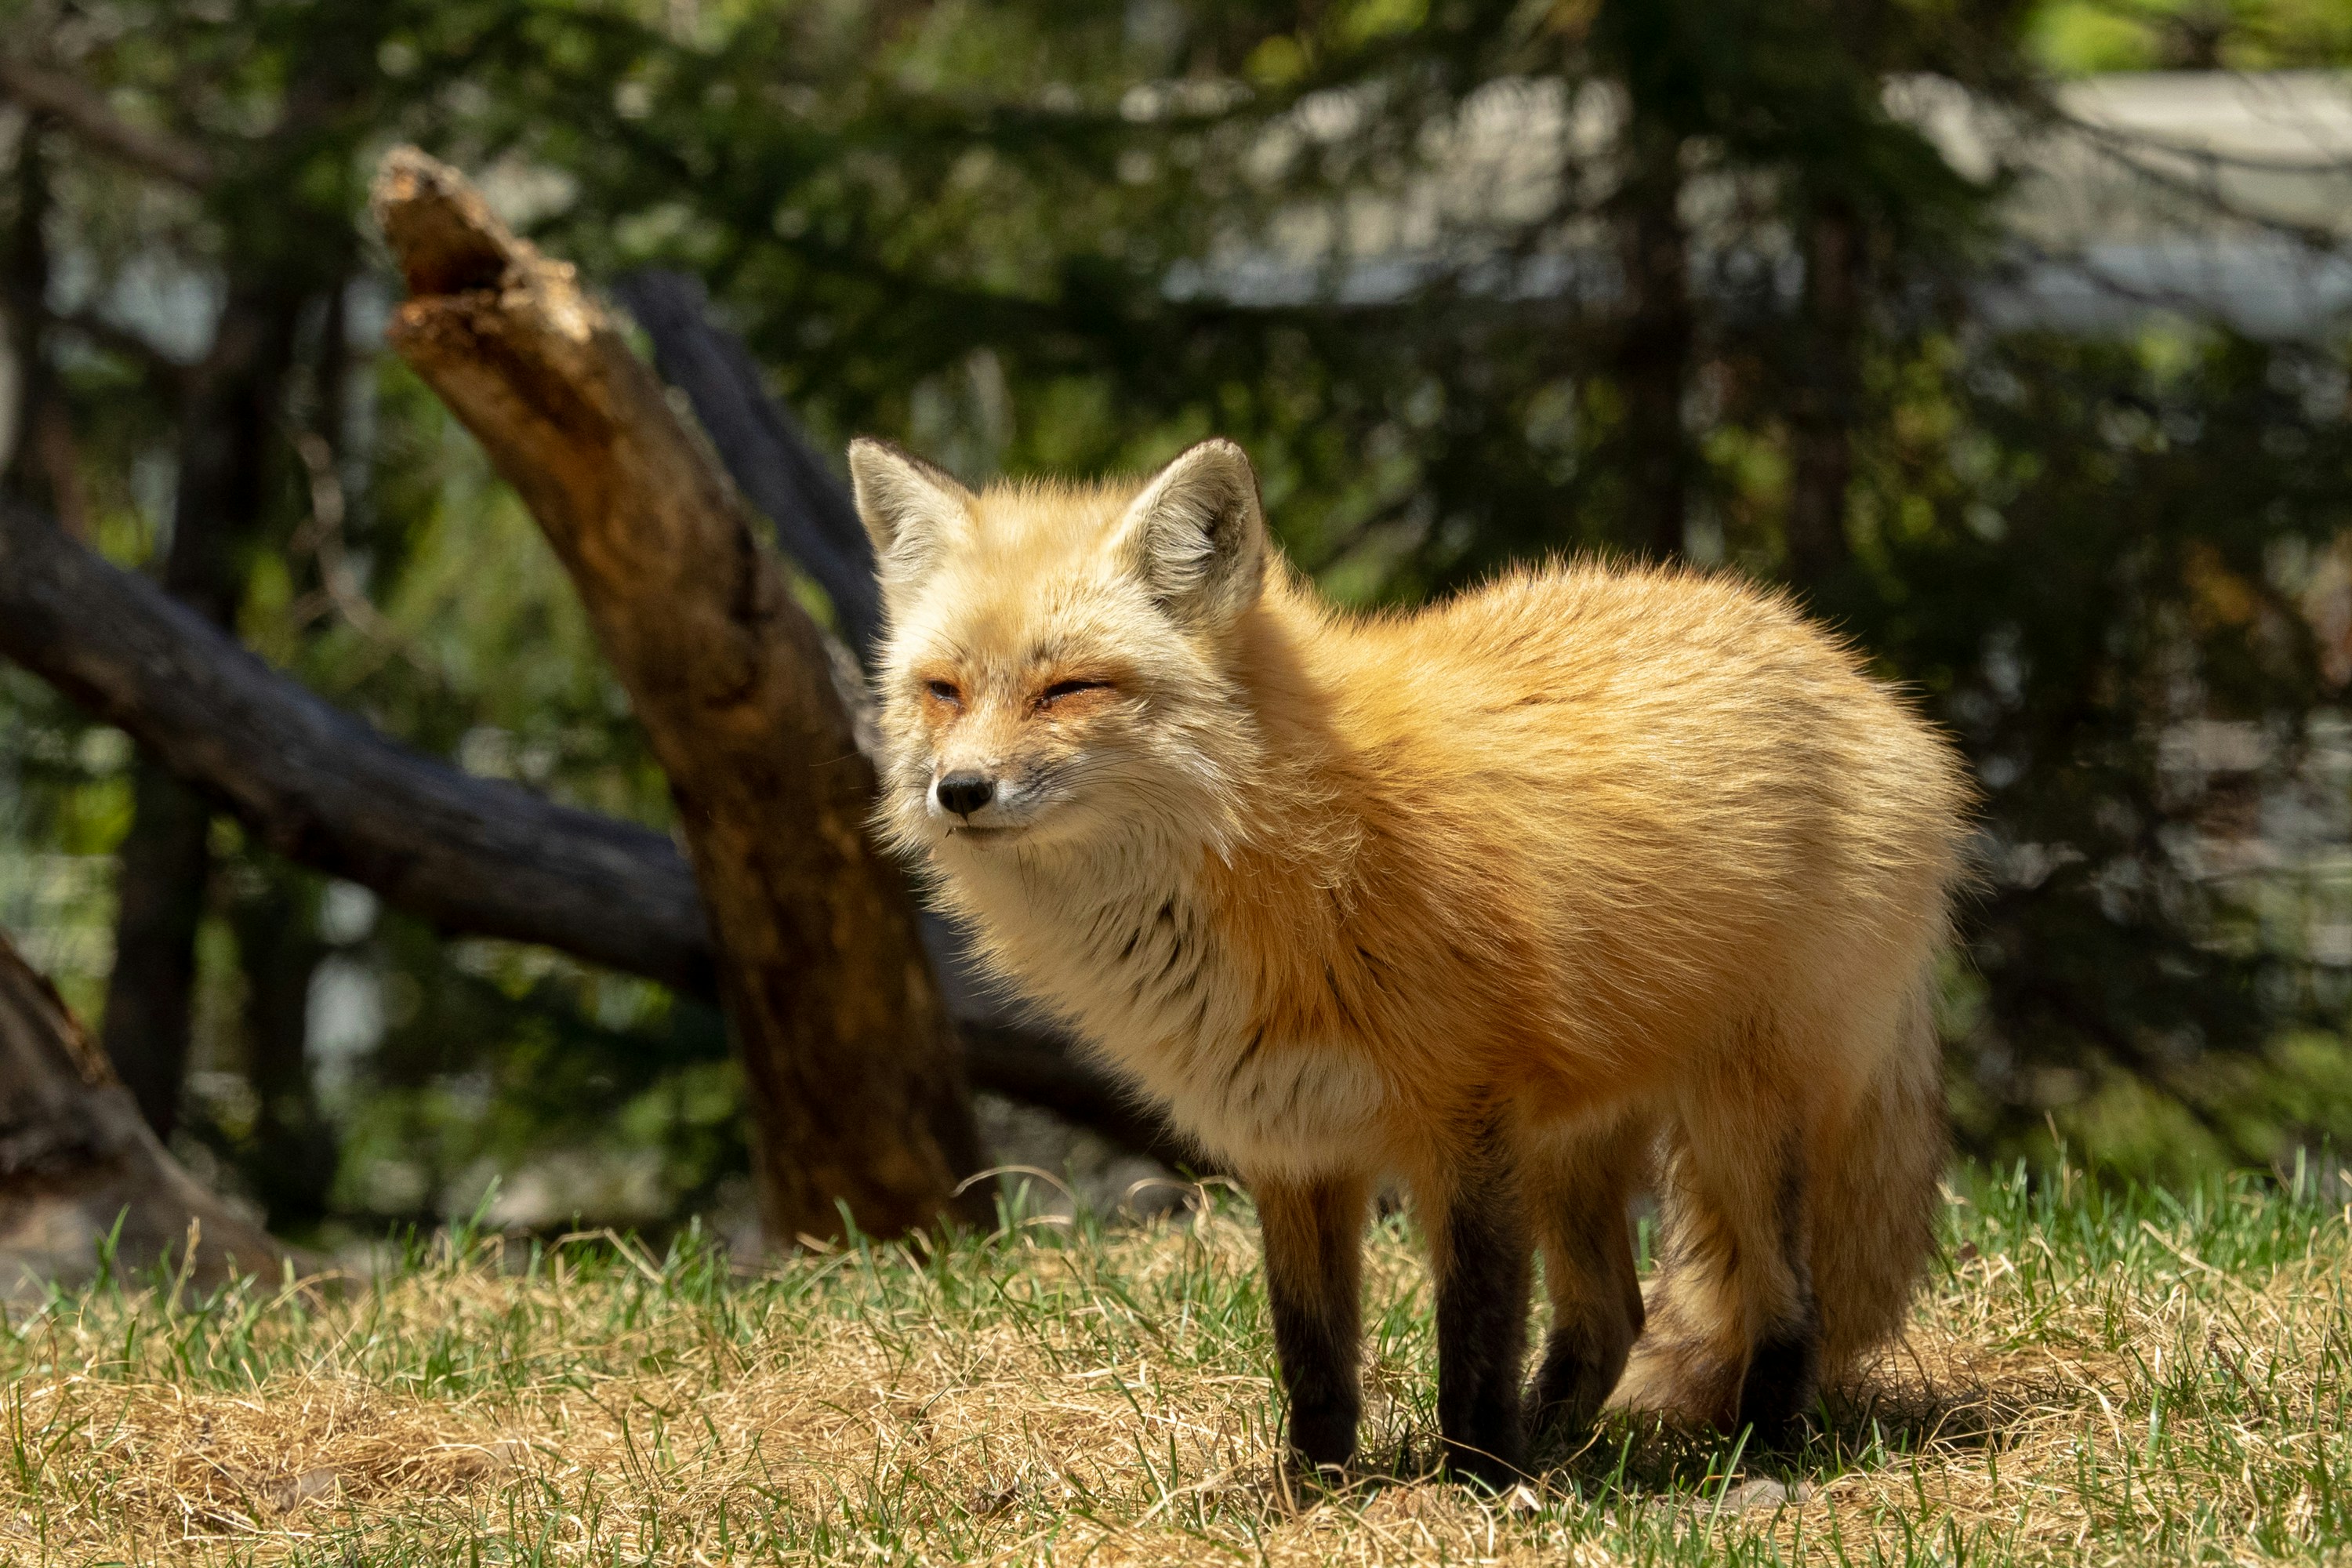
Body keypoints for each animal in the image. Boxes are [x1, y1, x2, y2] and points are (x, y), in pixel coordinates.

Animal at [847, 435, 1970, 1485]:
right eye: (943, 690)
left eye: (1069, 687)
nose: (960, 791)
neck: (1292, 843)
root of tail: (1851, 673)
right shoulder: (1289, 1138)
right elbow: (1313, 1356)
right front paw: (1316, 1495)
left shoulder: (1467, 1120)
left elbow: (1470, 1337)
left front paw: (1476, 1483)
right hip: (1575, 1141)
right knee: (1612, 1315)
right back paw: (1561, 1446)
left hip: (1738, 1113)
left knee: (1787, 1301)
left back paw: (1760, 1454)